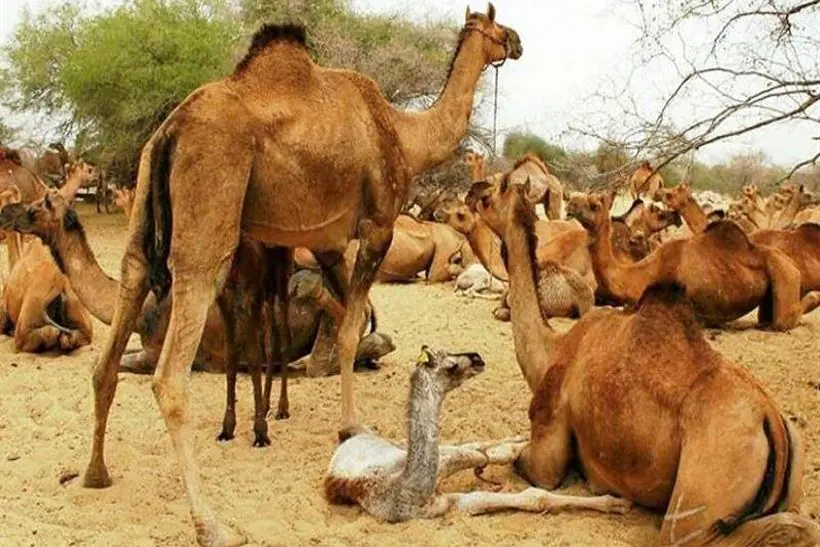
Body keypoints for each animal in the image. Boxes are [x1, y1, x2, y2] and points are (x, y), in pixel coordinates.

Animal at [62, 9, 524, 543]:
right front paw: (350, 426)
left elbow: (351, 318)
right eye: (497, 28)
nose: (517, 43)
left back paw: (95, 474)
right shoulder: (378, 224)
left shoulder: (326, 241)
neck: (403, 133)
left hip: (140, 213)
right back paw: (212, 525)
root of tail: (171, 131)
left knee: (112, 338)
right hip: (207, 213)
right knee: (171, 376)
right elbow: (349, 327)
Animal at [324, 346, 630, 521]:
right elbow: (526, 496)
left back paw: (517, 441)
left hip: (404, 448)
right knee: (473, 449)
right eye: (450, 365)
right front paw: (617, 503)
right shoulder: (445, 504)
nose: (477, 358)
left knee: (474, 447)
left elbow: (480, 457)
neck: (406, 490)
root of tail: (348, 437)